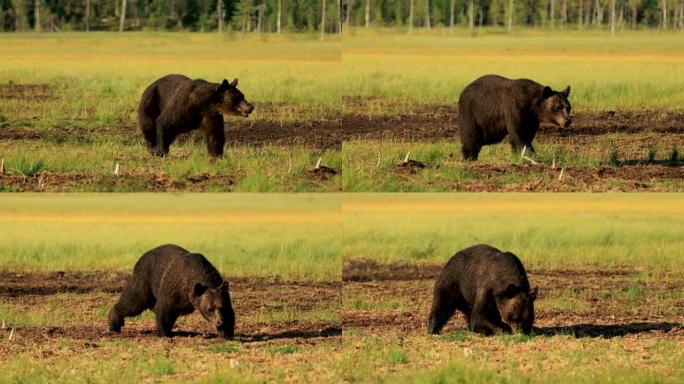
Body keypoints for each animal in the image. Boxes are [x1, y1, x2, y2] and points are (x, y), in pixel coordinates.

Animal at [107, 244, 235, 338]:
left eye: (220, 307)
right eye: (210, 309)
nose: (220, 323)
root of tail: (143, 256)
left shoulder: (223, 294)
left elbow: (230, 313)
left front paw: (226, 333)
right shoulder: (173, 288)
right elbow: (164, 308)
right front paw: (165, 333)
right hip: (145, 278)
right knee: (134, 301)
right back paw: (114, 324)